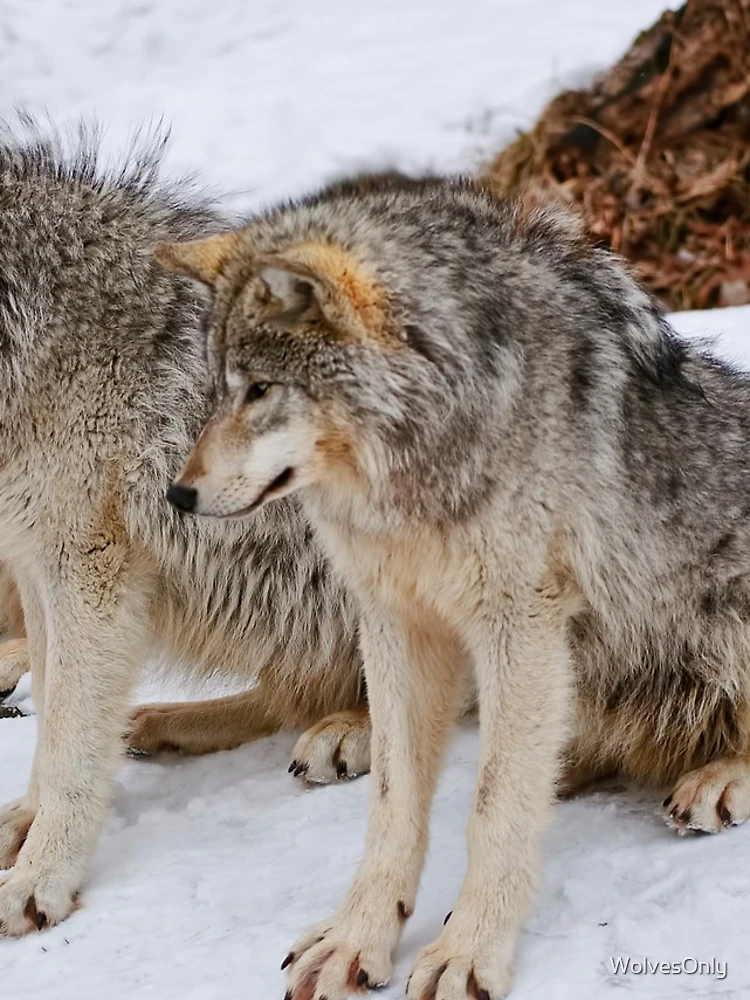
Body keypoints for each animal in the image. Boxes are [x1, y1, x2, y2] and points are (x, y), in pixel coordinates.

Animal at [0, 122, 383, 936]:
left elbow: (70, 737)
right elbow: (52, 723)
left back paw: (350, 732)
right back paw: (164, 723)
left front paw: (40, 878)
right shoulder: (38, 559)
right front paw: (24, 821)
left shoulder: (91, 569)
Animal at [160, 175, 750, 1000]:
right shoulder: (395, 620)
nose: (177, 495)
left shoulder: (519, 625)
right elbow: (394, 806)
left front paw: (469, 950)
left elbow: (494, 809)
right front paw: (355, 939)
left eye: (262, 390)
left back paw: (717, 778)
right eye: (220, 391)